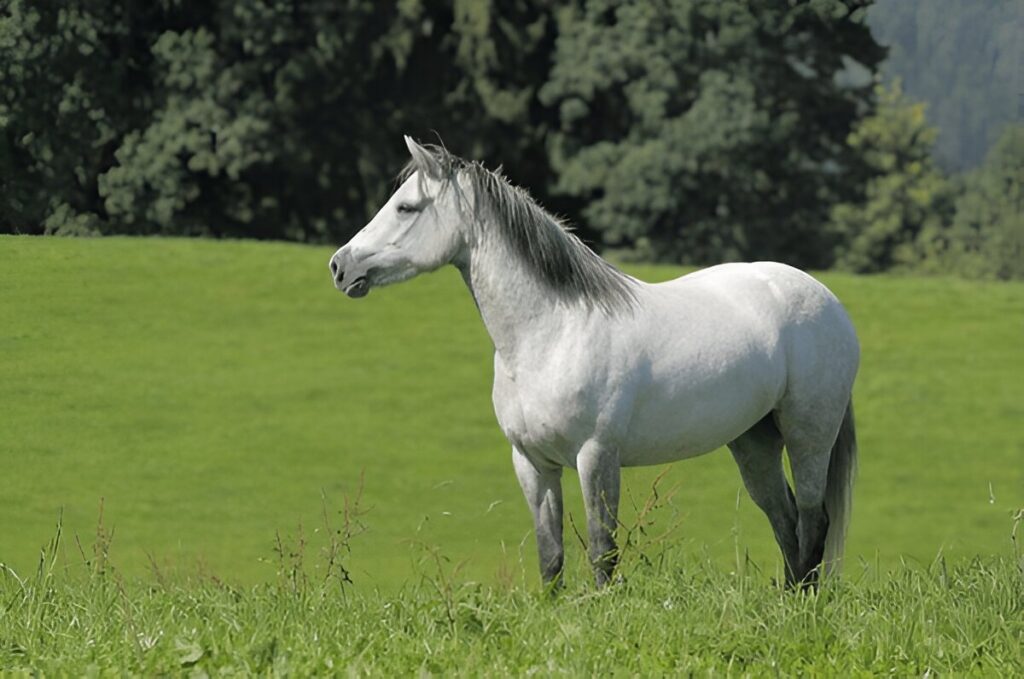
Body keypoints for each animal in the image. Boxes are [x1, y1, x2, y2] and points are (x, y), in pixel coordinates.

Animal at [327, 138, 856, 589]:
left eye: (405, 207)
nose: (340, 266)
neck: (552, 333)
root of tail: (827, 299)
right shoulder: (532, 463)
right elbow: (550, 555)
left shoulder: (596, 457)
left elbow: (603, 551)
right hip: (753, 442)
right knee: (785, 521)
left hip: (808, 436)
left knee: (813, 520)